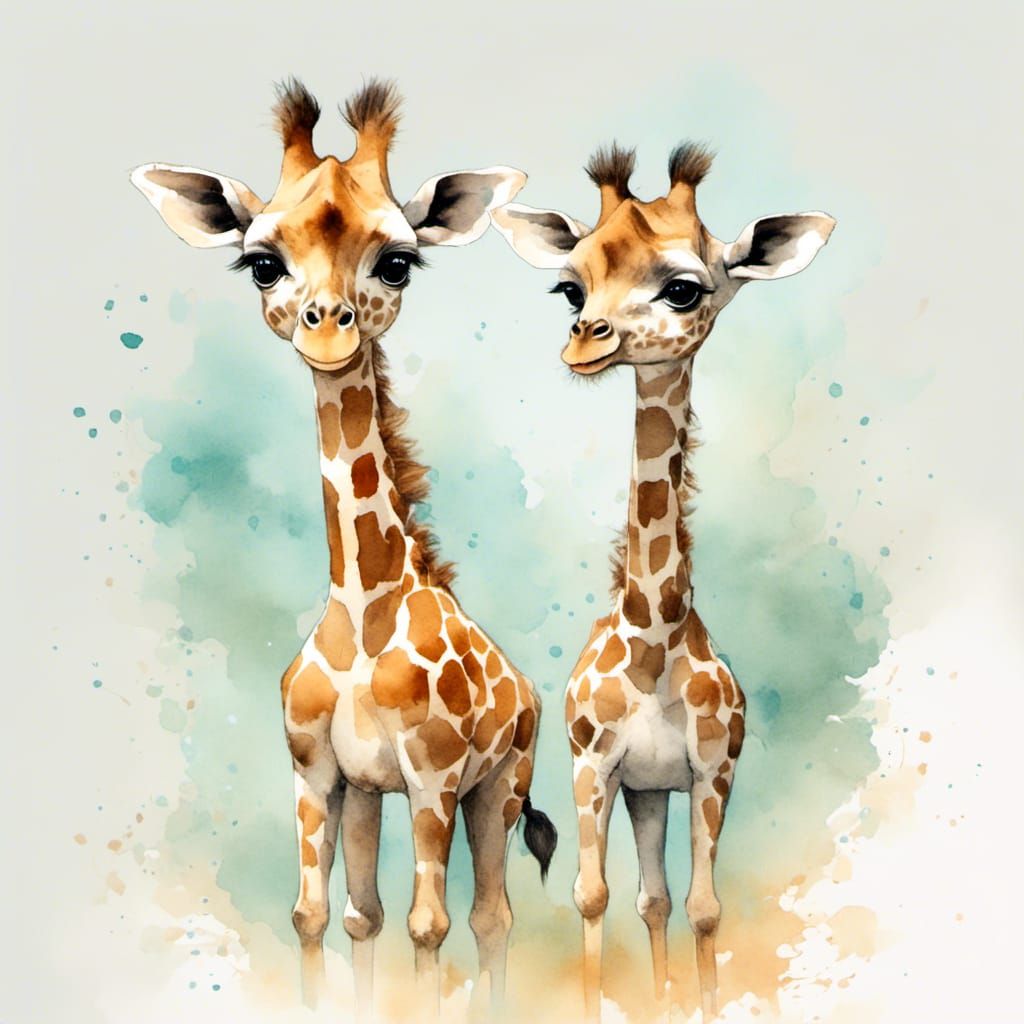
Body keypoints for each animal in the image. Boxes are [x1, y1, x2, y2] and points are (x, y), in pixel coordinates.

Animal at [131, 79, 557, 1021]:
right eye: (263, 261)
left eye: (396, 261)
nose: (329, 327)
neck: (363, 612)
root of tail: (528, 689)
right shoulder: (319, 774)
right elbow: (319, 915)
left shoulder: (435, 780)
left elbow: (431, 927)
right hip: (372, 796)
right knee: (371, 915)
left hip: (499, 787)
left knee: (493, 918)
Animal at [491, 143, 835, 1021]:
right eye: (570, 286)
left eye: (684, 286)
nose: (586, 341)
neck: (652, 638)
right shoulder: (594, 768)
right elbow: (591, 896)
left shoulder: (713, 773)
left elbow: (706, 908)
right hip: (642, 792)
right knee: (645, 899)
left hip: (660, 792)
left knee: (661, 900)